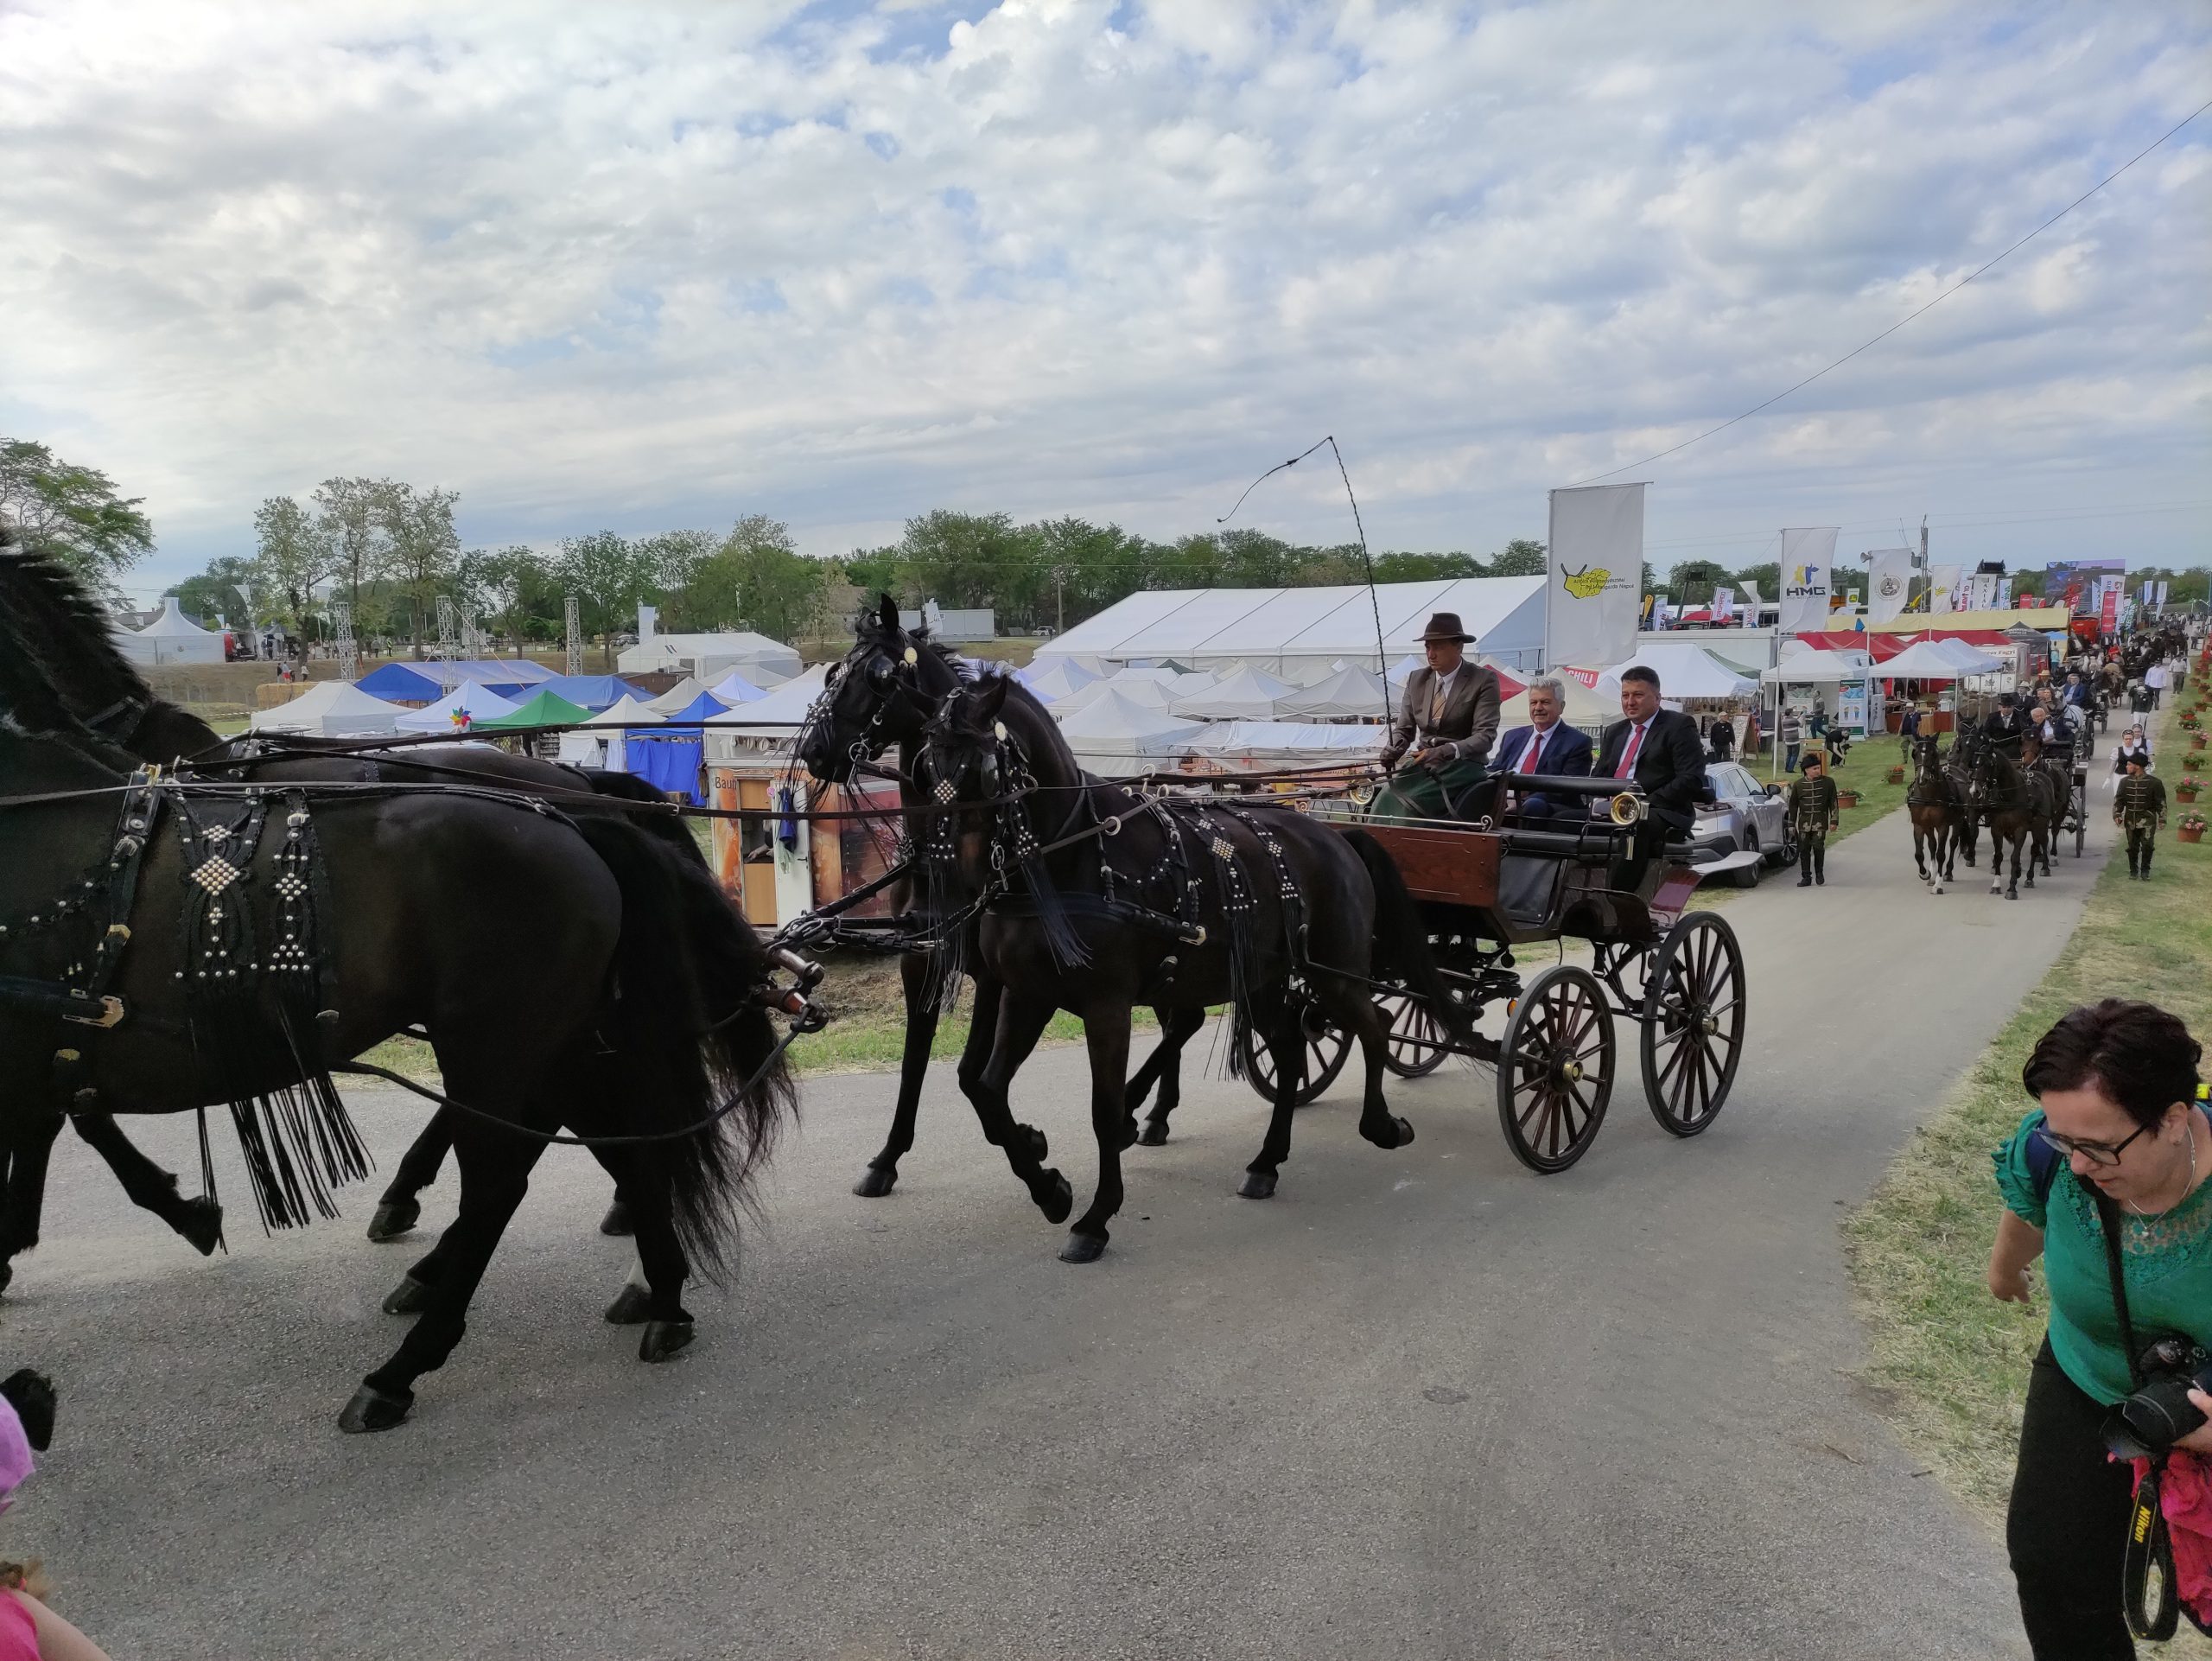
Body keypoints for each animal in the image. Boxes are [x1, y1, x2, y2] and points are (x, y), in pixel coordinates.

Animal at [0, 637, 796, 1433]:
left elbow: (71, 1131)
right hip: (555, 1038)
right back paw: (655, 1291)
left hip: (497, 1038)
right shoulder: (58, 1049)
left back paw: (405, 1362)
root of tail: (568, 811)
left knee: (503, 1183)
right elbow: (63, 1128)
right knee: (611, 1142)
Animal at [796, 606, 1211, 1203]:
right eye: (833, 674)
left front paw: (1029, 1143)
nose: (814, 751)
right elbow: (915, 1063)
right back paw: (1155, 1114)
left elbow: (970, 1075)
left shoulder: (996, 975)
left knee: (1184, 1018)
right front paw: (887, 1159)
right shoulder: (921, 961)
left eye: (878, 677)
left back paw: (1139, 1114)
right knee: (1181, 1015)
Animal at [919, 667, 1468, 1264]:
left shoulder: (1106, 1006)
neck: (1068, 859)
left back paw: (1382, 1124)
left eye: (981, 768)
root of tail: (1338, 834)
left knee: (1374, 1026)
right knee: (1292, 1053)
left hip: (1334, 973)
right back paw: (1266, 1162)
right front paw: (1051, 1189)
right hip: (1266, 981)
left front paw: (1096, 1217)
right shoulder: (1027, 995)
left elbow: (1103, 1110)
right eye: (927, 764)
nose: (955, 875)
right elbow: (989, 1089)